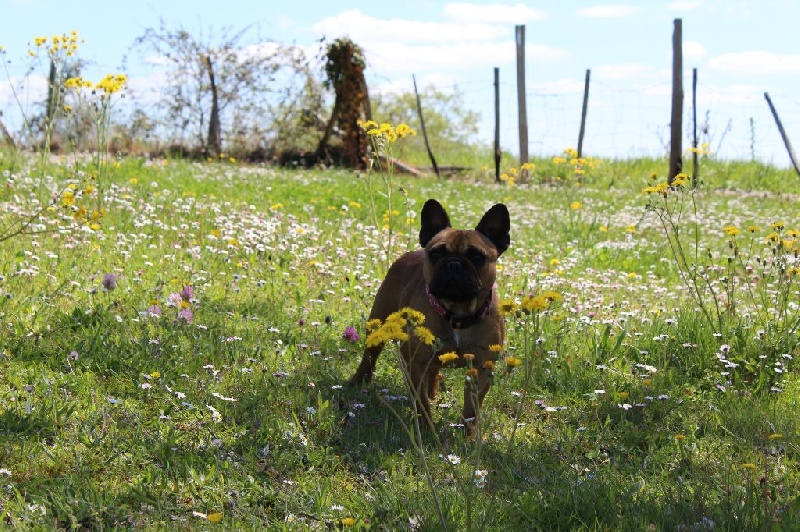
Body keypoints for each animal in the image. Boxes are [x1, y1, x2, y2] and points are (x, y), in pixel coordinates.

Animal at [348, 198, 510, 432]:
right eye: (436, 253)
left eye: (478, 257)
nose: (454, 264)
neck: (457, 313)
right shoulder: (415, 362)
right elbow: (421, 401)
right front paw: (426, 427)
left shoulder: (482, 366)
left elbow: (472, 406)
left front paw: (468, 434)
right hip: (379, 319)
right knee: (371, 354)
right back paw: (359, 380)